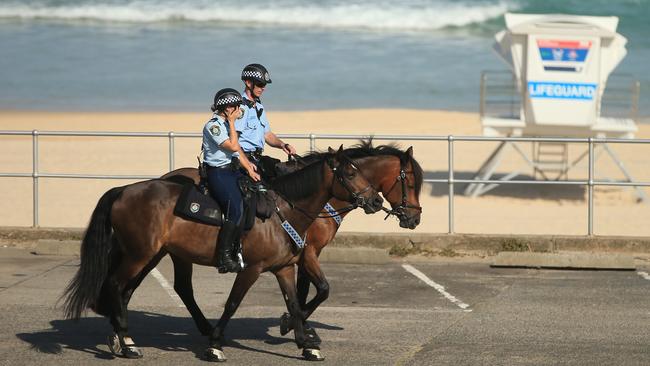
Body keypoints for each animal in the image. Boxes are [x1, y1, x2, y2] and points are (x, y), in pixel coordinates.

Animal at [61, 146, 382, 360]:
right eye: (350, 173)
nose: (376, 201)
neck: (282, 212)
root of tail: (123, 190)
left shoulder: (284, 268)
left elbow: (294, 303)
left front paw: (305, 344)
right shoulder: (252, 268)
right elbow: (232, 303)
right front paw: (215, 344)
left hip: (152, 254)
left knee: (136, 288)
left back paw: (121, 336)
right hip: (140, 254)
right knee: (118, 285)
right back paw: (128, 343)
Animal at [161, 141, 422, 358]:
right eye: (410, 183)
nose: (415, 219)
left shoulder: (298, 255)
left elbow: (304, 292)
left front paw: (300, 328)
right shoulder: (308, 252)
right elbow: (319, 290)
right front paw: (295, 325)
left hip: (179, 252)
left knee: (182, 287)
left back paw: (207, 328)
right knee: (184, 287)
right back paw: (209, 330)